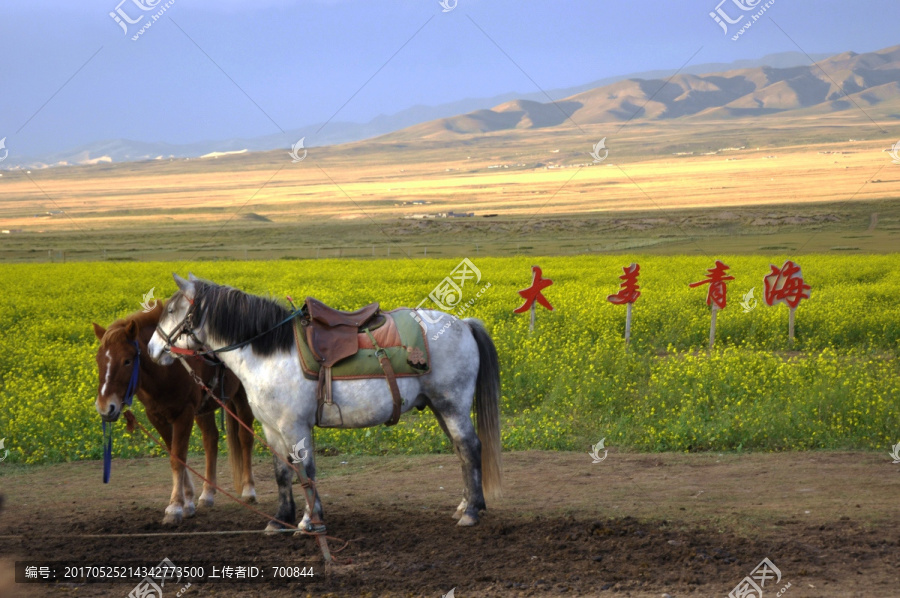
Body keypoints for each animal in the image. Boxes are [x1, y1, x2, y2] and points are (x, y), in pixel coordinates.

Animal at [93, 304, 256, 524]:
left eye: (127, 361)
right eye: (98, 360)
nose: (105, 407)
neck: (166, 368)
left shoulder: (184, 413)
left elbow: (178, 457)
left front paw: (175, 507)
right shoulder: (157, 416)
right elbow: (174, 453)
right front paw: (187, 501)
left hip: (242, 396)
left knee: (245, 437)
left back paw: (249, 489)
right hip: (204, 407)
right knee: (210, 440)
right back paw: (207, 493)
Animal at [147, 274, 500, 532]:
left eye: (170, 311)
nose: (151, 349)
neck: (270, 352)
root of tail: (464, 324)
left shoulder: (295, 426)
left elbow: (306, 470)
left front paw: (309, 520)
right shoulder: (272, 428)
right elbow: (282, 472)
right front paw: (281, 520)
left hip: (452, 406)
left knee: (470, 448)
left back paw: (471, 511)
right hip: (440, 408)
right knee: (461, 451)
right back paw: (464, 505)